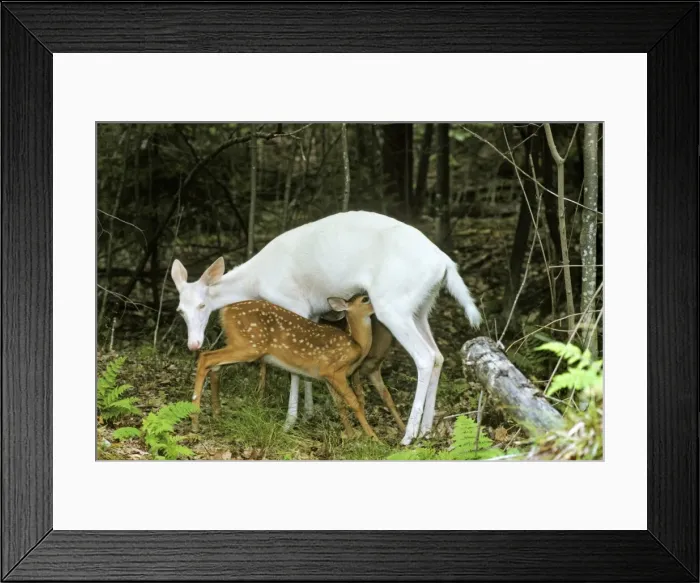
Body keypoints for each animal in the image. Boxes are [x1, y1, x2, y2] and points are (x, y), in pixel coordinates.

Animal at [189, 295, 378, 438]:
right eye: (365, 298)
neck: (357, 345)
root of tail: (225, 310)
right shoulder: (332, 370)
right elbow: (354, 402)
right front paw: (373, 438)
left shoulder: (326, 377)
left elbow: (340, 404)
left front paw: (351, 435)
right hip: (249, 346)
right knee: (205, 358)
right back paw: (195, 422)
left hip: (240, 344)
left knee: (214, 365)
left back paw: (216, 414)